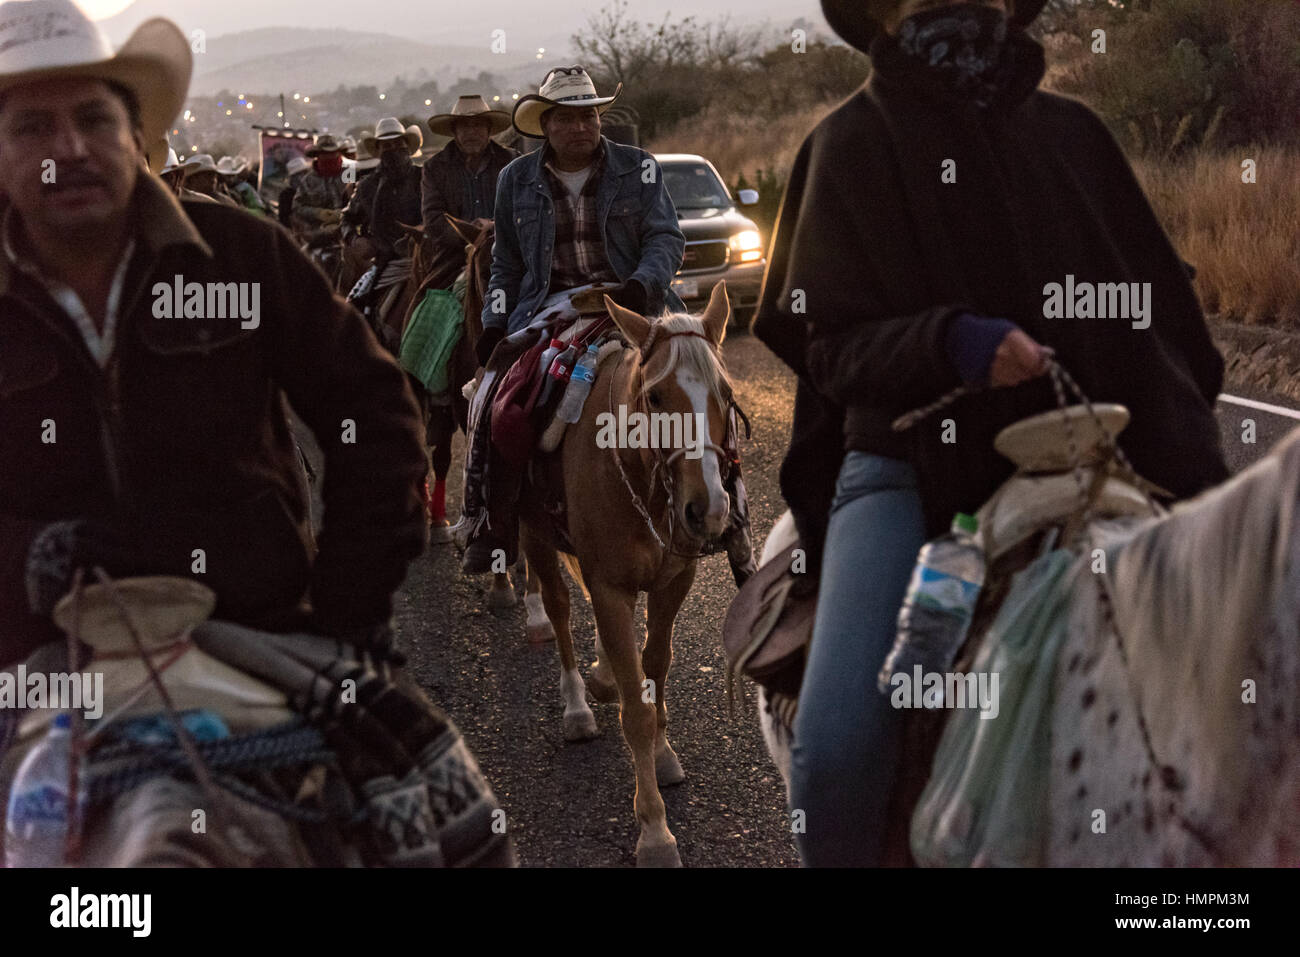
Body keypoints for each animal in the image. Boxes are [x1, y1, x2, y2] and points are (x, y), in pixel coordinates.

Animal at [517, 282, 743, 868]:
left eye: (724, 394)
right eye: (657, 398)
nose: (707, 510)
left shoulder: (674, 582)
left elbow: (655, 668)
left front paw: (662, 753)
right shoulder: (612, 590)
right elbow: (635, 712)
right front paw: (655, 831)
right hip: (534, 531)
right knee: (558, 606)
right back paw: (577, 703)